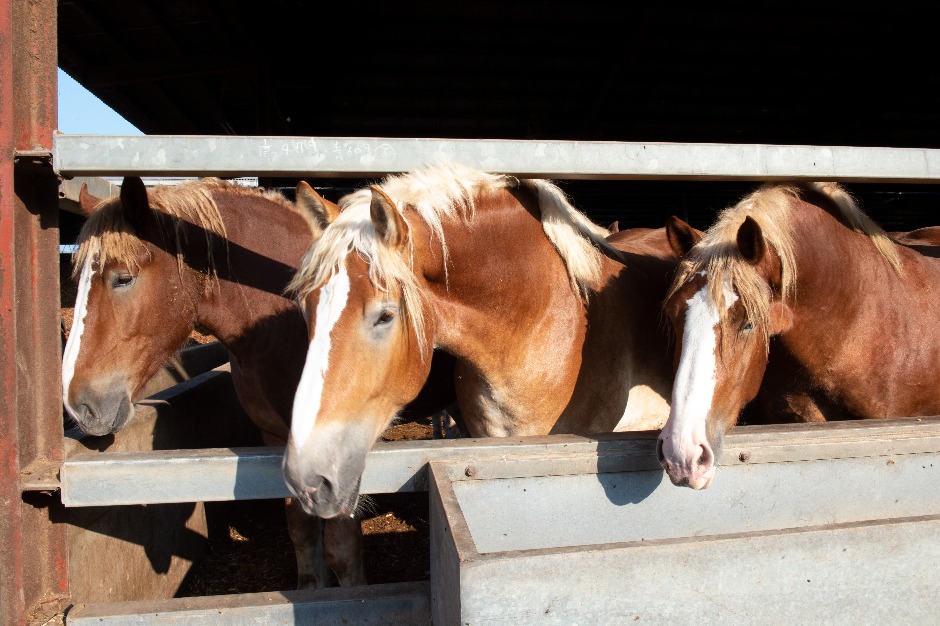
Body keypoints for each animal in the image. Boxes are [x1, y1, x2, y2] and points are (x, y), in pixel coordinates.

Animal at [59, 178, 456, 588]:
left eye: (122, 278)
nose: (78, 403)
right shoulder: (280, 438)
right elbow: (302, 533)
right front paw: (313, 589)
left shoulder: (341, 445)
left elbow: (342, 550)